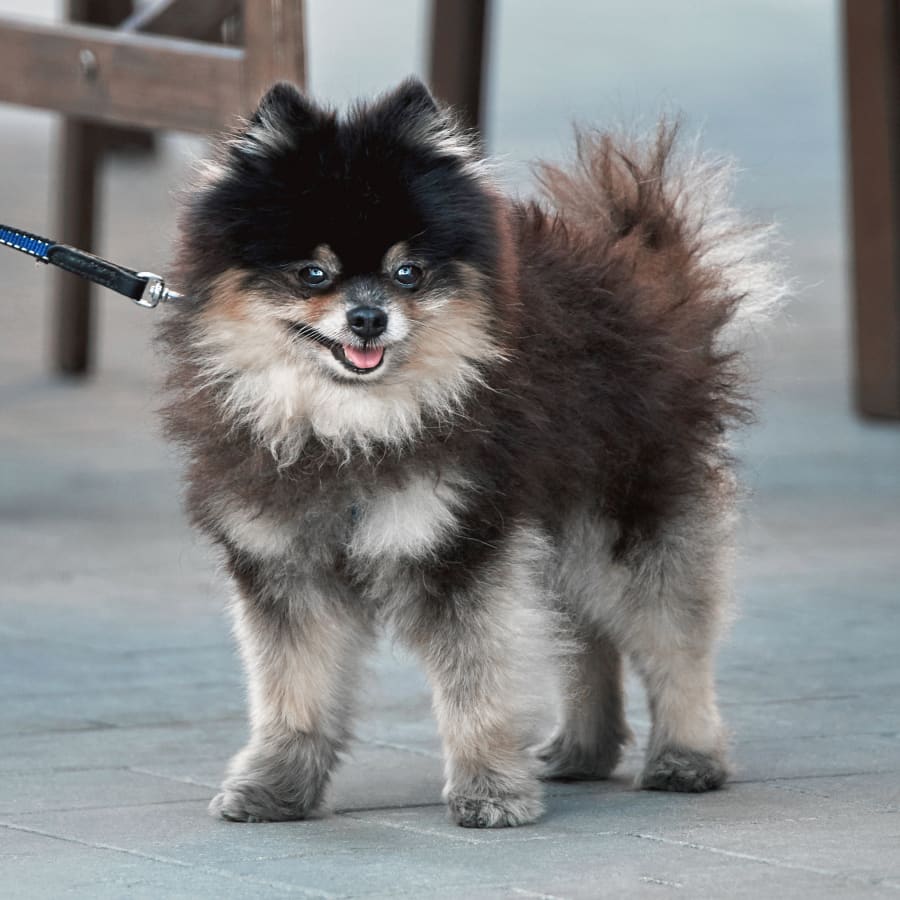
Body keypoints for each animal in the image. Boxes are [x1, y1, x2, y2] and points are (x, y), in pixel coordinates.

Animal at [158, 81, 784, 828]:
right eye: (313, 273)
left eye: (408, 272)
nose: (367, 317)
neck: (350, 427)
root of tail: (639, 261)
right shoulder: (285, 563)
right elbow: (293, 690)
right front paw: (275, 786)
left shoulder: (463, 548)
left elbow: (476, 685)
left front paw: (490, 789)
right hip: (558, 530)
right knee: (584, 636)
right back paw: (582, 749)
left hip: (624, 517)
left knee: (671, 638)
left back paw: (686, 756)